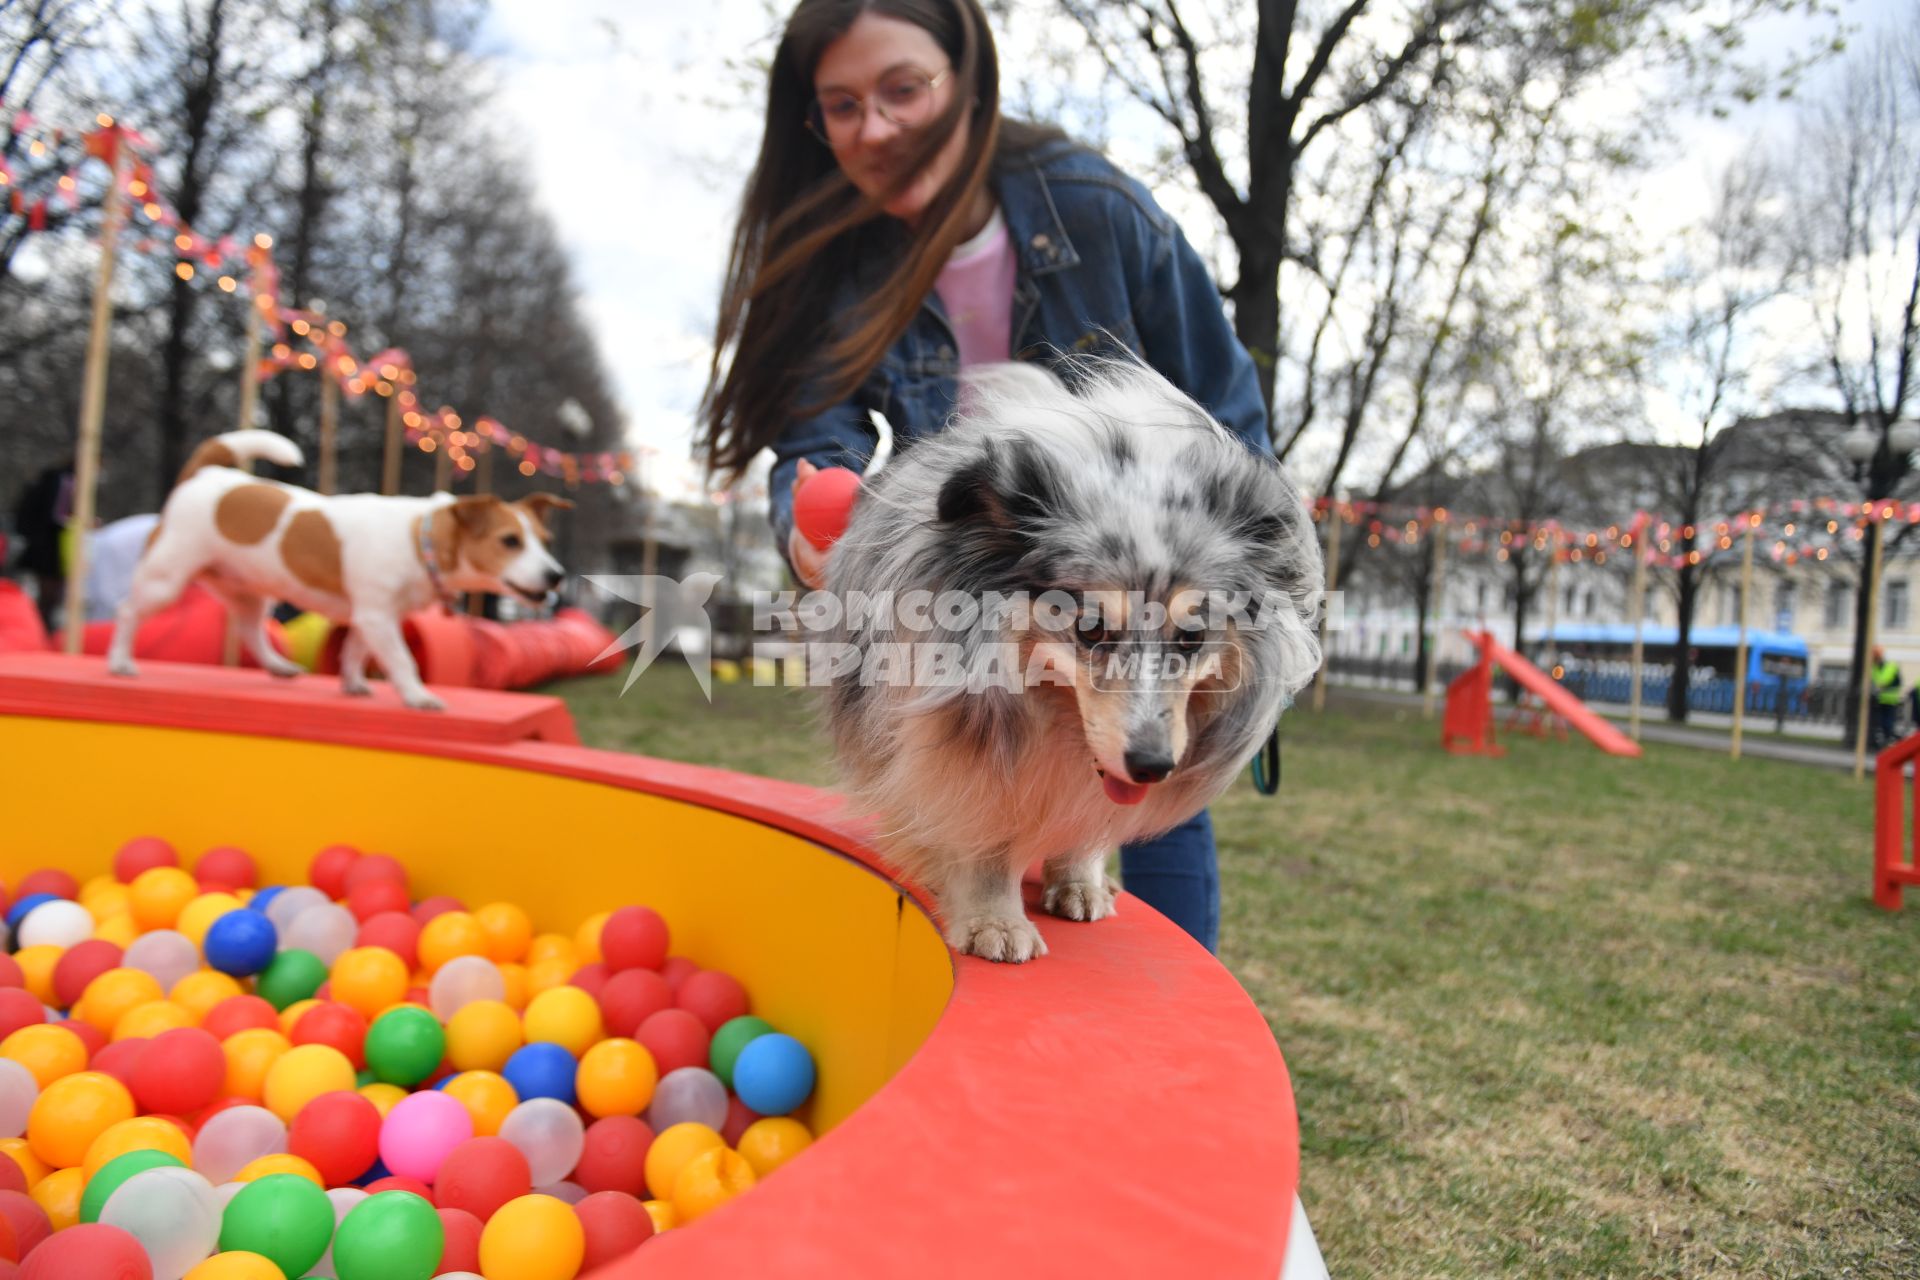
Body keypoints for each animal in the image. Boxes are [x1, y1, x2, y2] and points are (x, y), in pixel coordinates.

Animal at [109, 429, 568, 710]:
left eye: (546, 540)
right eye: (510, 541)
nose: (556, 576)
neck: (419, 538)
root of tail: (207, 473)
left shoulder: (373, 616)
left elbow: (354, 651)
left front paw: (354, 685)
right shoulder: (378, 614)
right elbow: (401, 659)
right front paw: (418, 696)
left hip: (252, 593)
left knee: (250, 630)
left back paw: (278, 666)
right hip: (165, 579)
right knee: (128, 611)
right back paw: (119, 663)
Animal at [817, 358, 1328, 959]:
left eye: (1192, 638)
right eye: (1091, 628)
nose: (1153, 766)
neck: (1056, 716)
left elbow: (1089, 819)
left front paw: (1080, 883)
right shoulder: (965, 757)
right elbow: (984, 841)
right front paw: (995, 924)